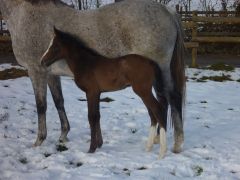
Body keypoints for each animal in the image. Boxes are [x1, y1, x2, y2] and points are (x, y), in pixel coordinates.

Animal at [40, 28, 167, 159]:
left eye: (55, 46)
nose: (42, 61)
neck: (85, 63)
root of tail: (151, 62)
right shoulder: (98, 93)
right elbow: (97, 116)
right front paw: (99, 144)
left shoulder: (91, 93)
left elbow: (91, 117)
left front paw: (91, 148)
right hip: (143, 92)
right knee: (152, 114)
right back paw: (149, 147)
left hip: (143, 91)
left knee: (158, 109)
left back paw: (162, 151)